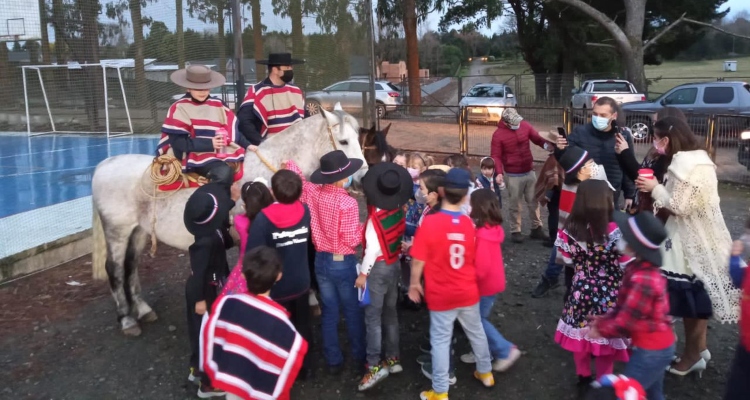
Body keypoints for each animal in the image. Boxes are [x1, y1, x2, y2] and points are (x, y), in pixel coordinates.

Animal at [91, 106, 368, 334]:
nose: (363, 177)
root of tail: (104, 164)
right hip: (118, 231)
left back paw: (143, 309)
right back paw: (127, 319)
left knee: (131, 267)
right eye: (343, 141)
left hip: (138, 232)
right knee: (115, 269)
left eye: (358, 138)